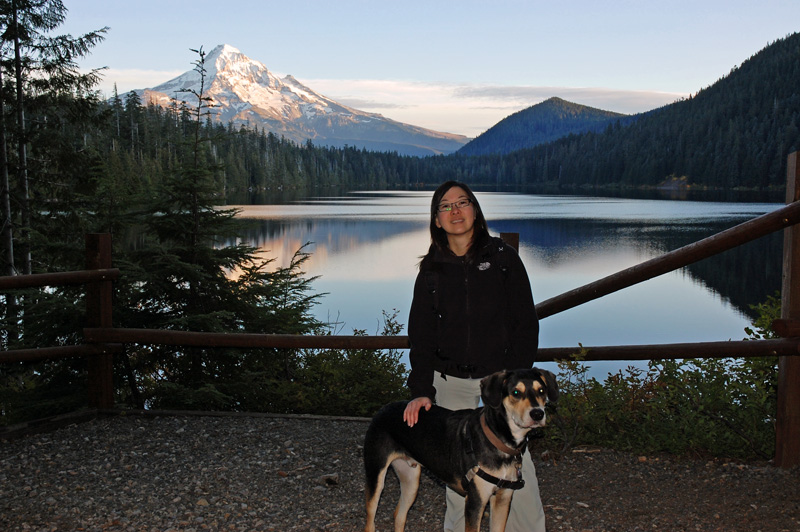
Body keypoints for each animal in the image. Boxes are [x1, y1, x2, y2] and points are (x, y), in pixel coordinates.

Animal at [362, 368, 556, 532]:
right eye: (516, 392)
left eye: (541, 391)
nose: (538, 414)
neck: (498, 438)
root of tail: (383, 409)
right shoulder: (475, 502)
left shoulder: (503, 498)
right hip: (376, 477)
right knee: (370, 521)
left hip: (411, 481)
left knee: (399, 515)